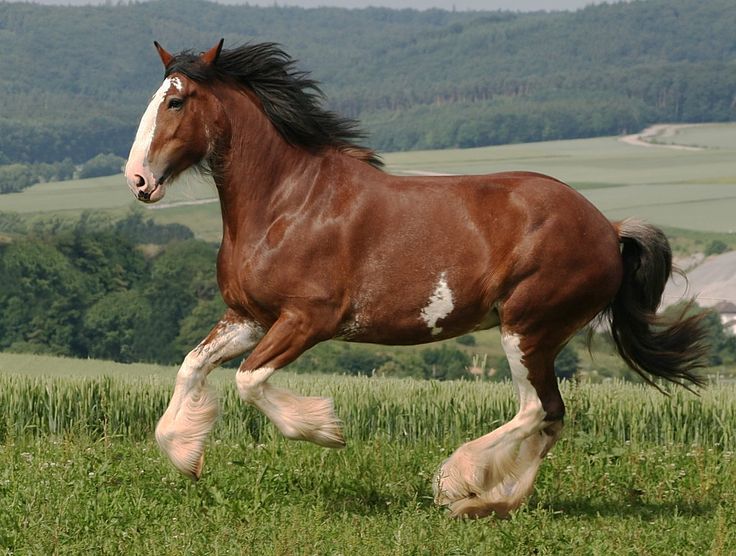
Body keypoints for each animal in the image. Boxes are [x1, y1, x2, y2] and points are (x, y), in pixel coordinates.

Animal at [124, 39, 707, 518]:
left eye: (176, 102)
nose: (138, 181)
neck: (287, 203)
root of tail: (608, 229)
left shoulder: (308, 320)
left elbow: (249, 380)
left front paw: (325, 429)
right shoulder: (249, 317)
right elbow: (192, 366)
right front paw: (185, 454)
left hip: (529, 328)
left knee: (538, 409)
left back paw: (458, 485)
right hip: (533, 333)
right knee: (552, 417)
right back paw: (490, 503)